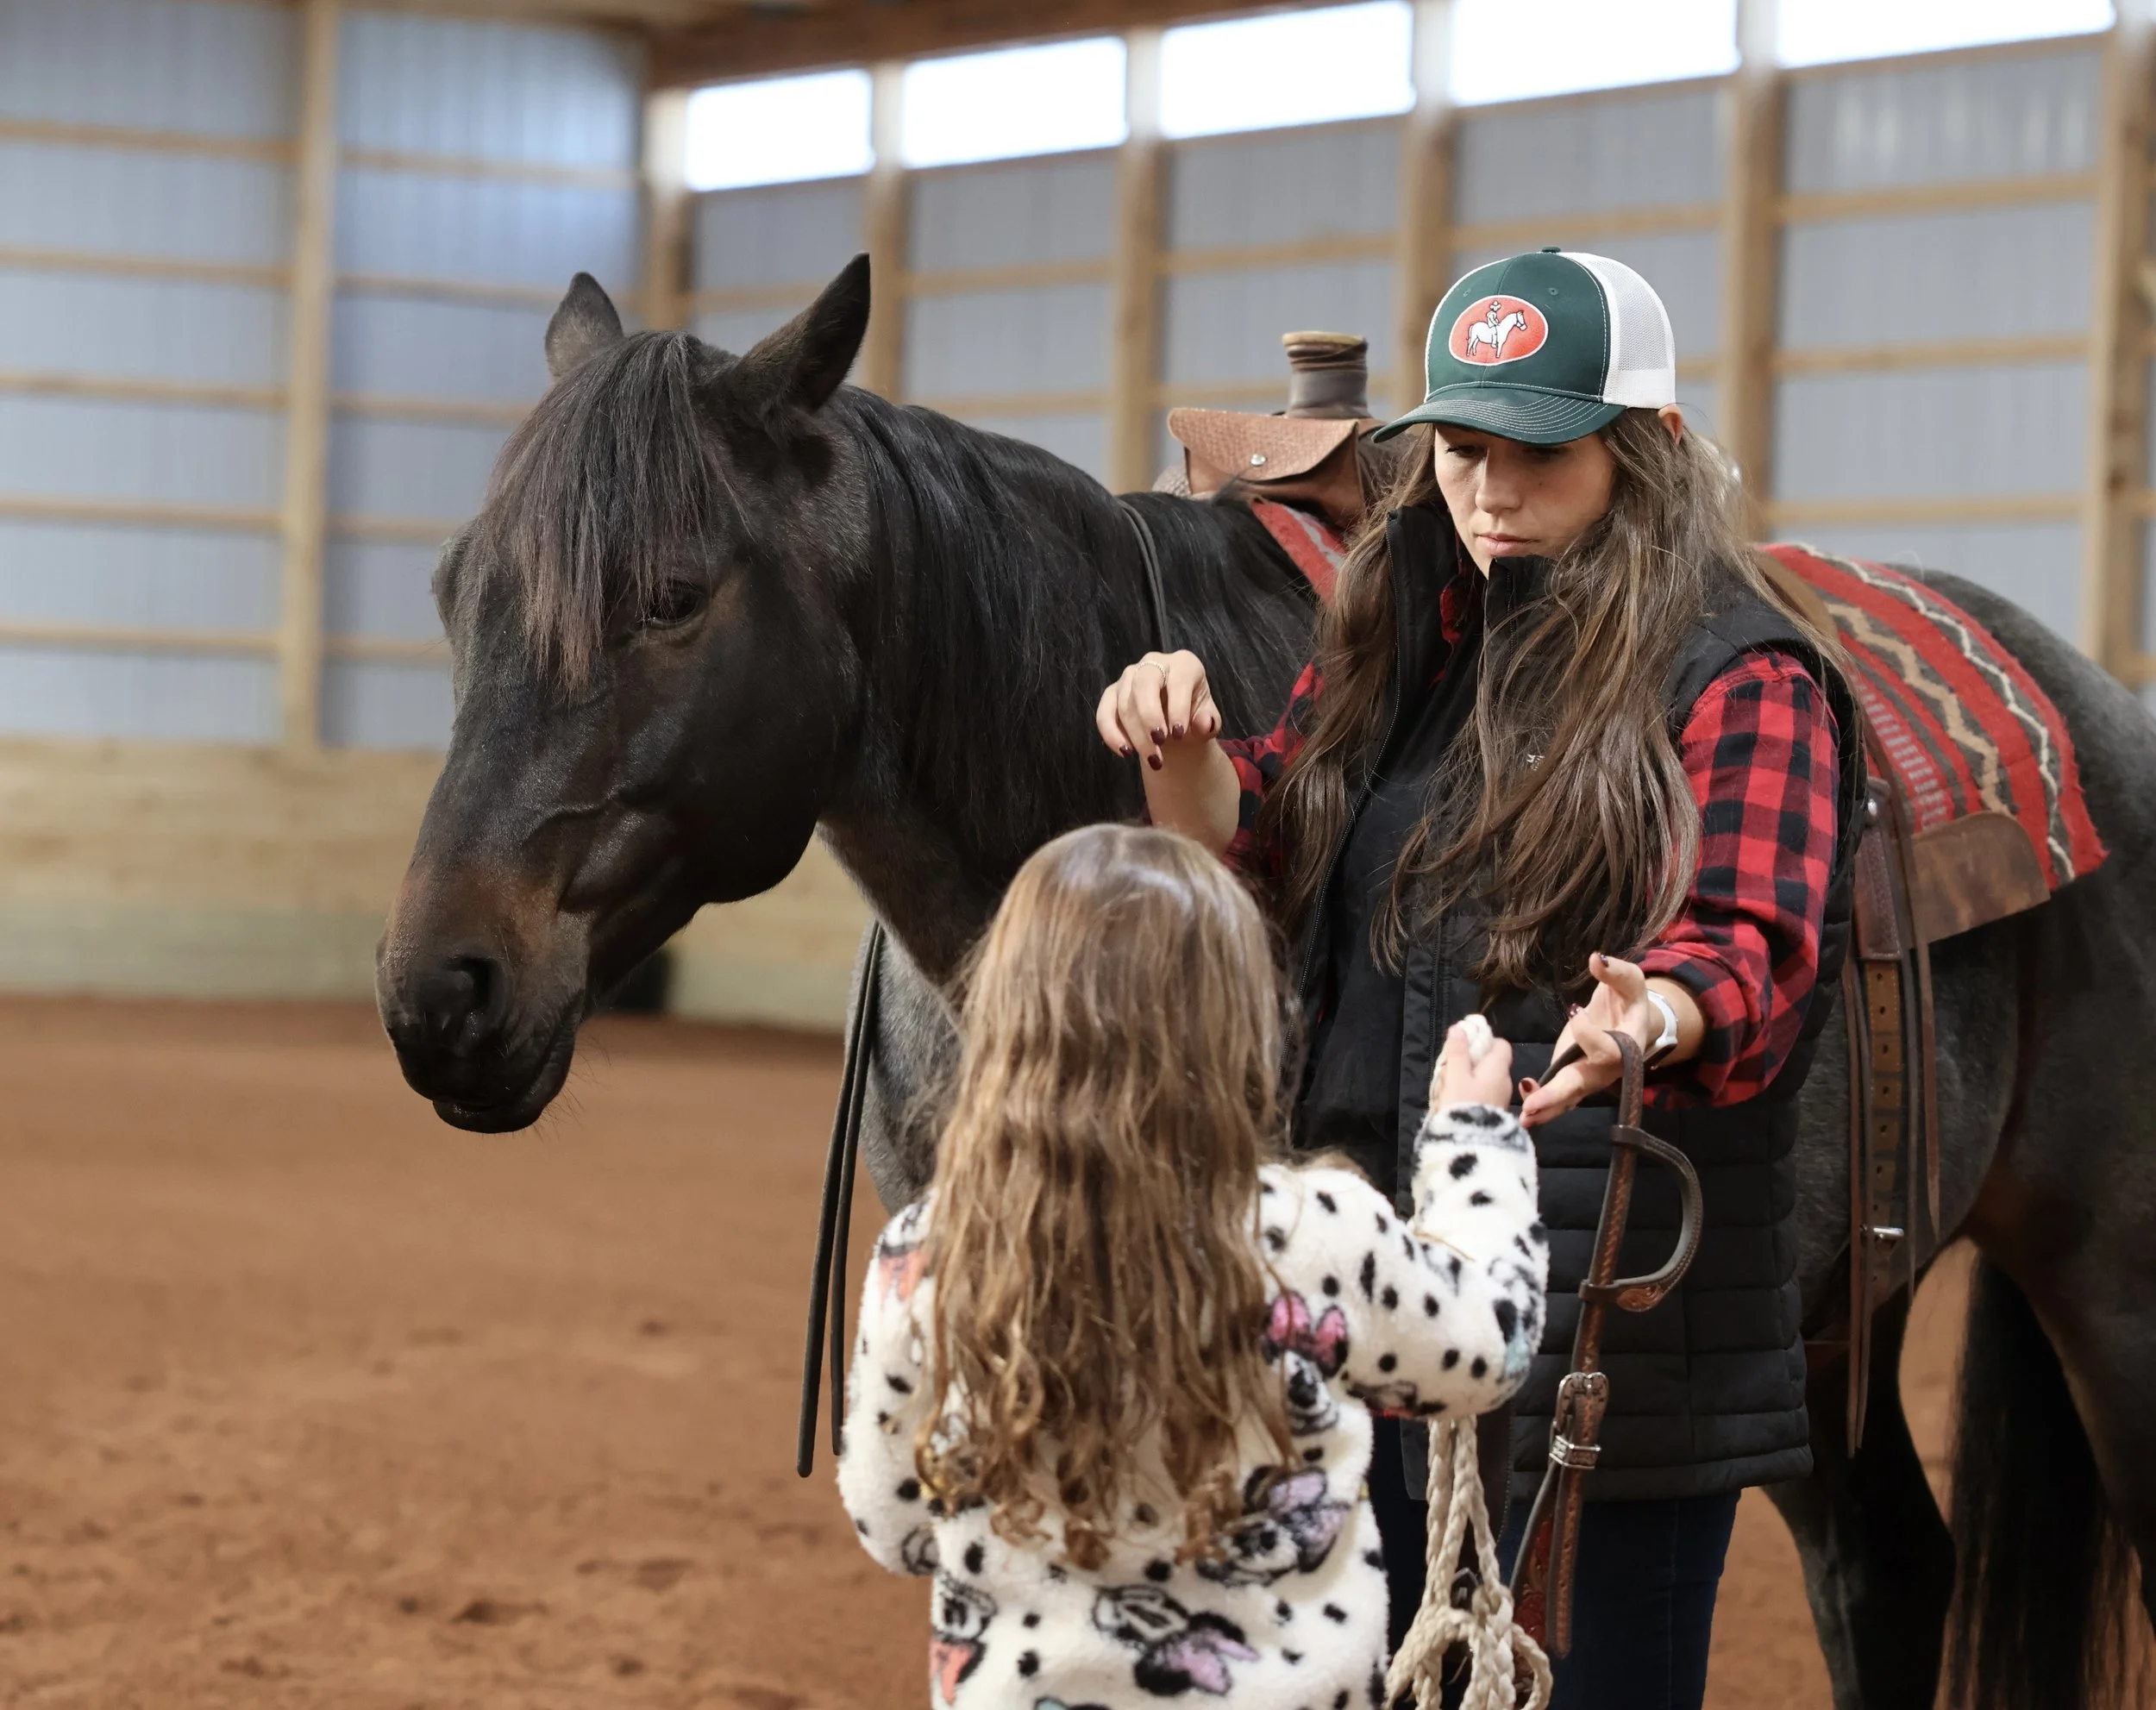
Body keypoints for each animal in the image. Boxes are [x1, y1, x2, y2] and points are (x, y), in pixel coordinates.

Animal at [375, 257, 2156, 1710]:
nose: (439, 992)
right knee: (1888, 1570)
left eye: (670, 596)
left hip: (2096, 1286)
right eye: (455, 590)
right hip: (1820, 1319)